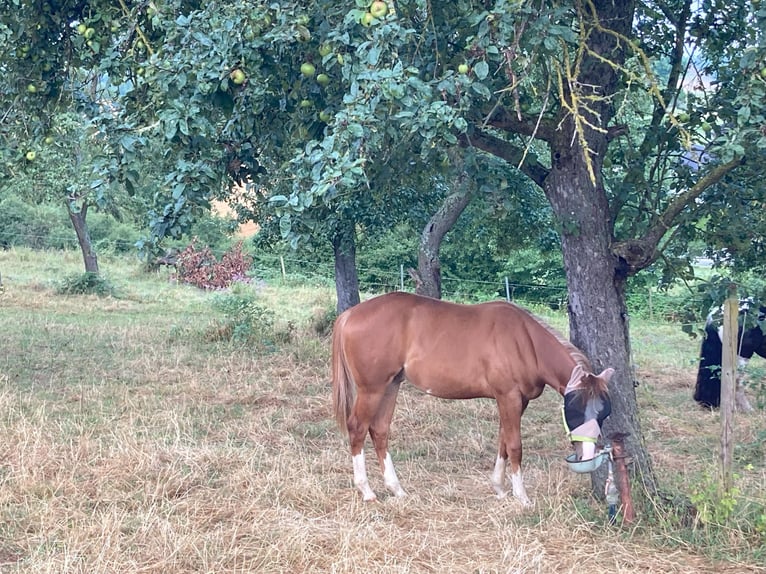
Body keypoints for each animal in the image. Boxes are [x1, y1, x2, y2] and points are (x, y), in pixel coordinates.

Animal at [332, 294, 616, 506]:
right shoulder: (509, 397)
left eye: (603, 413)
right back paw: (367, 491)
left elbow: (503, 441)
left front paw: (499, 488)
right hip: (372, 389)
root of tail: (350, 315)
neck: (525, 341)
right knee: (358, 428)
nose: (587, 454)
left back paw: (396, 488)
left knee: (379, 430)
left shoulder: (515, 401)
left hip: (390, 385)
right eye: (574, 410)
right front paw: (521, 497)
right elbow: (515, 445)